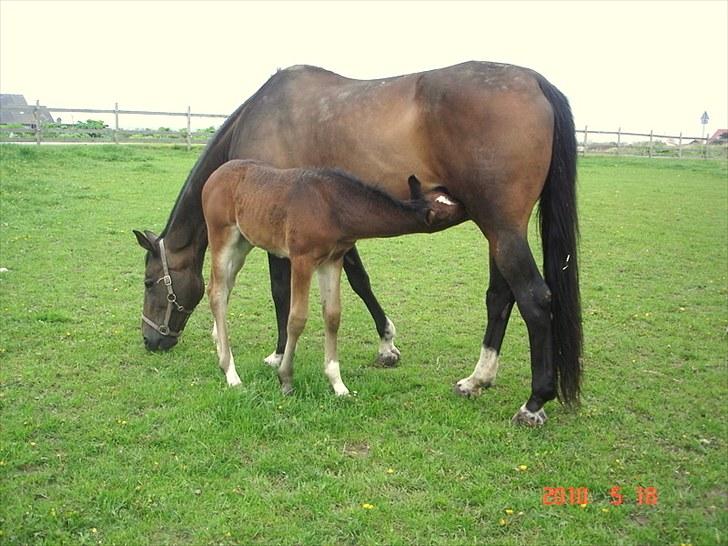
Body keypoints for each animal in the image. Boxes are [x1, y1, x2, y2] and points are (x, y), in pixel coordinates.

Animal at [202, 159, 464, 394]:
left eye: (448, 199)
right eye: (449, 212)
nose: (467, 205)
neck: (334, 207)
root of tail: (212, 178)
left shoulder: (332, 261)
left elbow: (332, 316)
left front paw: (337, 383)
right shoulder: (302, 259)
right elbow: (297, 319)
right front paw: (286, 379)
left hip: (243, 243)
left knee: (224, 287)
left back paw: (220, 350)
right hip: (221, 236)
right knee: (216, 292)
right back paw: (231, 373)